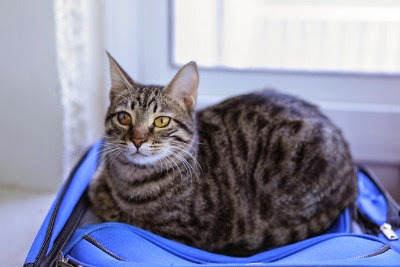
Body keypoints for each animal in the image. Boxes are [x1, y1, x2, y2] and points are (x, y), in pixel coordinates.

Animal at [87, 54, 356, 258]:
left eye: (162, 121)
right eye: (124, 118)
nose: (137, 139)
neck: (131, 177)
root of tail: (351, 176)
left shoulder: (183, 232)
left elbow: (128, 220)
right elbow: (95, 188)